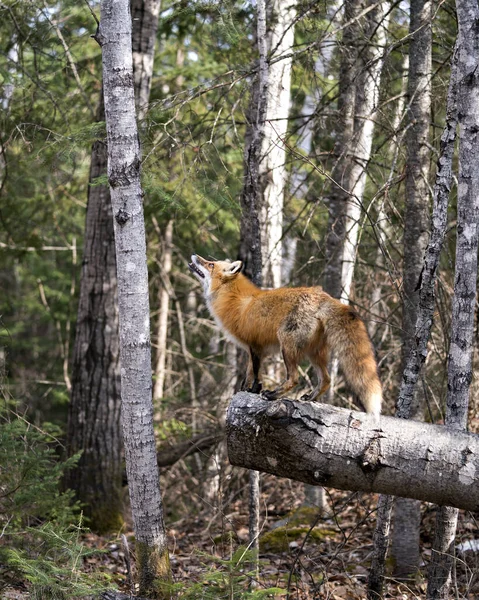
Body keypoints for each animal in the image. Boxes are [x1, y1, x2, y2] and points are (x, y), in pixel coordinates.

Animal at [188, 254, 382, 418]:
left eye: (210, 264)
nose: (195, 255)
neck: (235, 300)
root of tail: (323, 296)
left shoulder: (255, 346)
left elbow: (255, 374)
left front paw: (254, 391)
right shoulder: (254, 349)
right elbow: (249, 375)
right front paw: (246, 391)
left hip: (287, 347)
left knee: (294, 378)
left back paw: (273, 395)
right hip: (314, 353)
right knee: (326, 379)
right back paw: (310, 398)